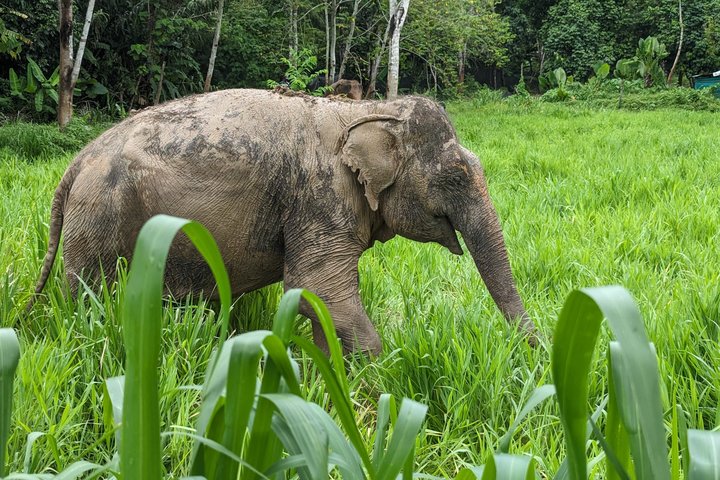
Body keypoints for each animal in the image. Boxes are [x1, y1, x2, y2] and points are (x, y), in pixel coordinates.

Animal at [31, 88, 537, 354]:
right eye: (456, 175)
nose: (534, 356)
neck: (368, 110)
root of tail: (76, 162)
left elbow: (317, 299)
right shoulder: (321, 198)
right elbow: (318, 287)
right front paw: (379, 376)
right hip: (100, 215)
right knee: (90, 294)